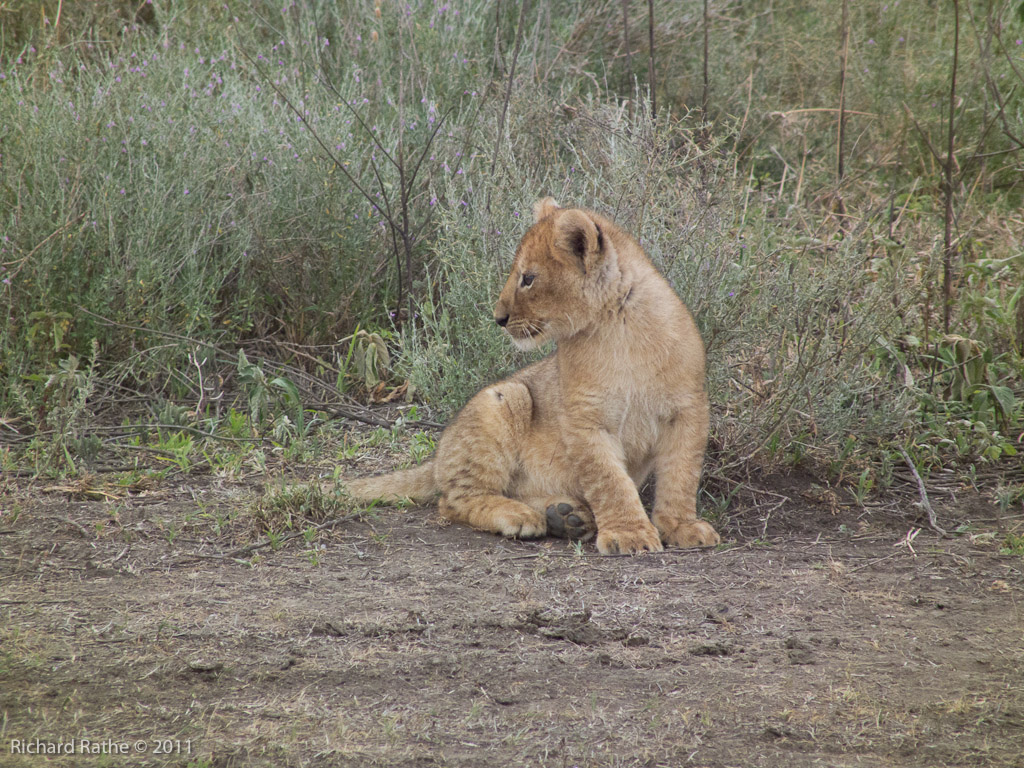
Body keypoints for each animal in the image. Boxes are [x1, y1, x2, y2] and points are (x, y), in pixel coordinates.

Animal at [347, 197, 720, 554]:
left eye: (528, 278)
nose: (498, 318)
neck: (618, 326)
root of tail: (437, 458)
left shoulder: (689, 408)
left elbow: (681, 475)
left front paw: (682, 526)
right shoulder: (584, 418)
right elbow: (609, 481)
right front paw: (630, 534)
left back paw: (567, 517)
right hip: (506, 398)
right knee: (453, 501)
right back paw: (522, 516)